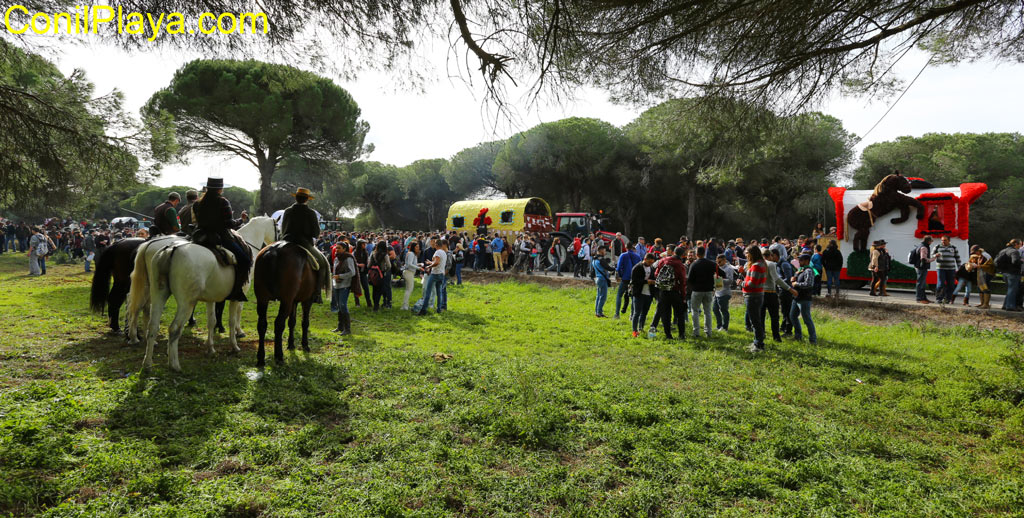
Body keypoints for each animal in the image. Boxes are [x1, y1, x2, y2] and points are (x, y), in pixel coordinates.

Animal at [126, 216, 278, 370]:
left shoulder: (212, 296)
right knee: (170, 327)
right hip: (184, 303)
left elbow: (212, 320)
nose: (276, 243)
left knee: (147, 316)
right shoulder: (239, 295)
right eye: (277, 228)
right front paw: (236, 338)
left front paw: (211, 347)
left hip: (156, 292)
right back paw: (172, 363)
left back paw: (145, 354)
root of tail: (169, 250)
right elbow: (233, 317)